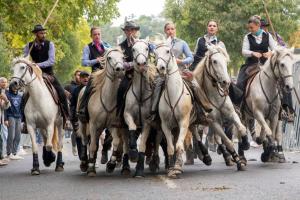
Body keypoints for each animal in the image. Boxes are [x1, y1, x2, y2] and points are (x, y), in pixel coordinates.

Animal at [77, 48, 125, 177]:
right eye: (109, 58)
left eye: (123, 57)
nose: (120, 69)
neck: (108, 99)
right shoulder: (94, 125)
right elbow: (93, 146)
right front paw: (91, 169)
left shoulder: (113, 125)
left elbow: (116, 142)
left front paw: (111, 165)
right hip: (83, 123)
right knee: (84, 141)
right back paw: (84, 163)